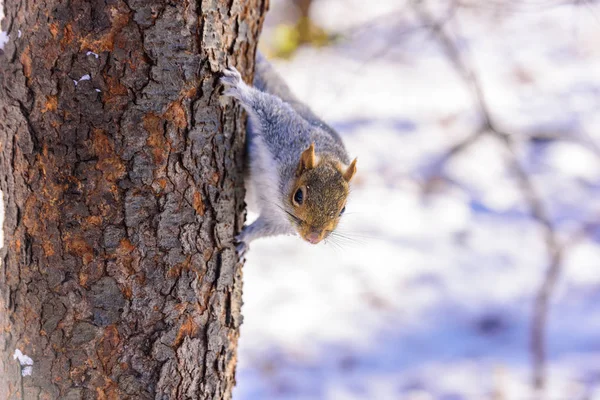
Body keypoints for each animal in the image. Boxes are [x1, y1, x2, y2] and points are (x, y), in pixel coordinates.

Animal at [220, 53, 356, 255]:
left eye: (343, 209)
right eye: (298, 196)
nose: (313, 238)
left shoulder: (280, 220)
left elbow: (266, 228)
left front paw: (245, 240)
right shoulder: (284, 133)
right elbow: (268, 106)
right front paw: (239, 87)